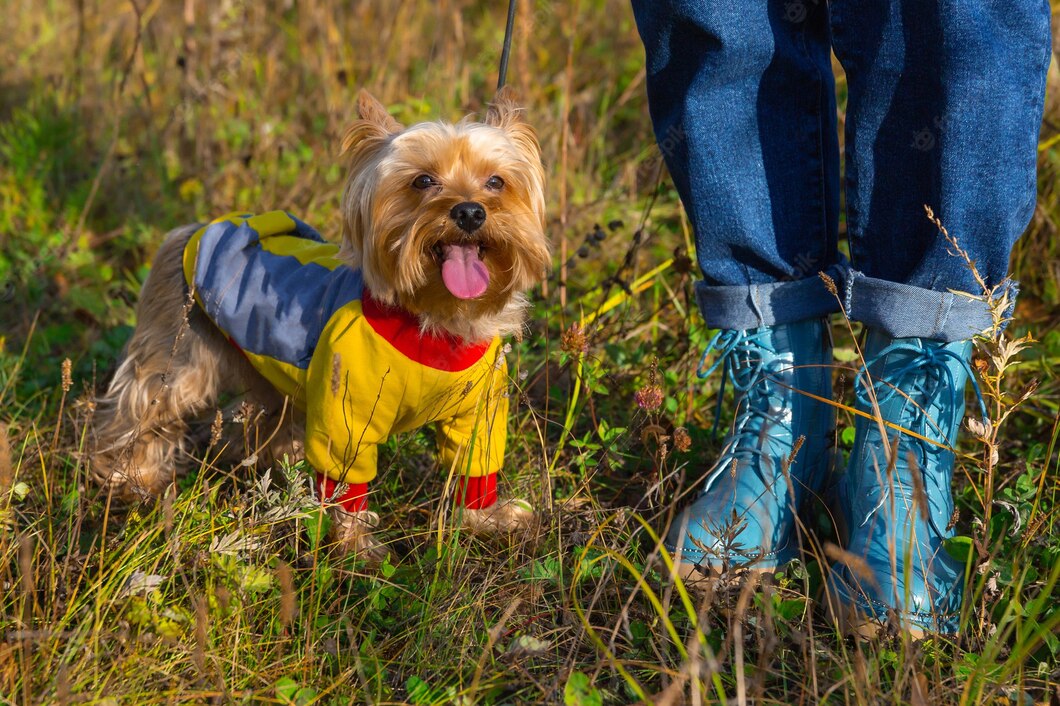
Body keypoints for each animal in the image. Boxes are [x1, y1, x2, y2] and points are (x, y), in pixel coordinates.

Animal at [87, 87, 551, 555]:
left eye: (496, 182)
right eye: (422, 181)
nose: (470, 212)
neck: (434, 319)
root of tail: (192, 228)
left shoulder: (479, 410)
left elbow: (475, 463)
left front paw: (487, 519)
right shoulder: (347, 412)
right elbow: (345, 478)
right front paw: (355, 544)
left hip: (269, 374)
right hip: (180, 352)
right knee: (143, 406)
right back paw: (131, 478)